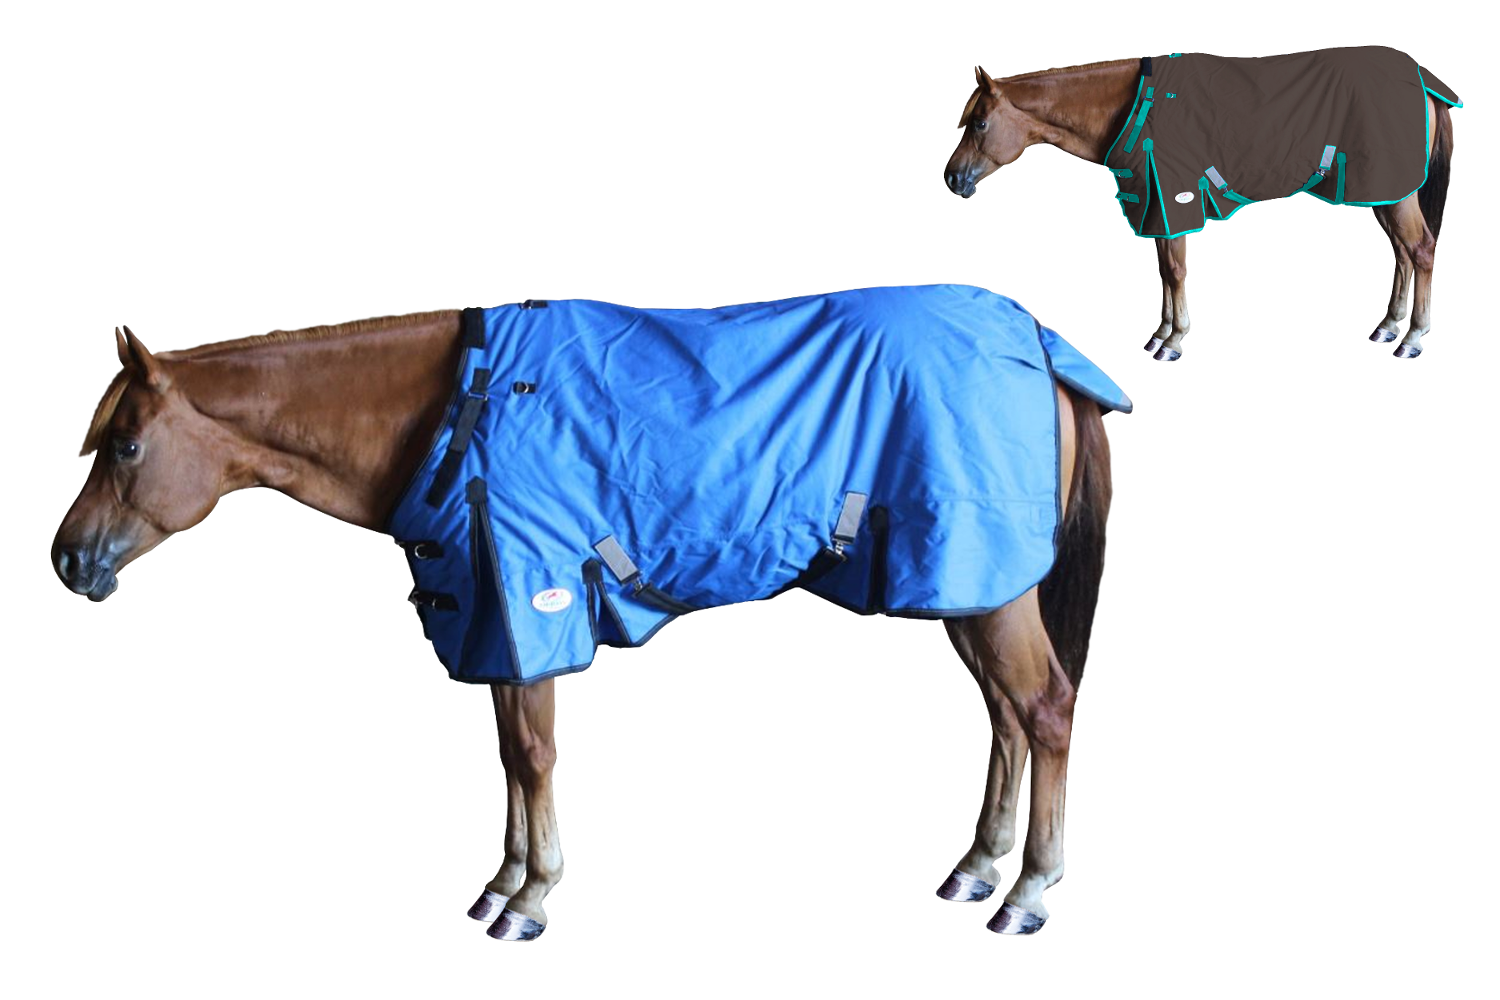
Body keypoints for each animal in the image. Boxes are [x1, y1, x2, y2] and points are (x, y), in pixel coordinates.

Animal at [52, 296, 1118, 940]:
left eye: (128, 444)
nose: (67, 560)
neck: (464, 412)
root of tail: (1037, 342)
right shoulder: (492, 619)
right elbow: (508, 756)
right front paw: (502, 882)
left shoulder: (531, 605)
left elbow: (533, 754)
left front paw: (530, 900)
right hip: (965, 586)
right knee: (1006, 717)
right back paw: (976, 867)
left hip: (989, 586)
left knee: (1046, 711)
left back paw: (1029, 892)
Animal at [944, 51, 1459, 361]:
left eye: (981, 122)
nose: (952, 178)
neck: (1134, 107)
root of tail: (1424, 80)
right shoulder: (1155, 207)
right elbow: (1163, 271)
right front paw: (1160, 333)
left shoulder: (1173, 201)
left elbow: (1175, 271)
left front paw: (1173, 342)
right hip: (1383, 192)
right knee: (1401, 253)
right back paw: (1388, 326)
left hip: (1395, 192)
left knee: (1421, 250)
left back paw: (1413, 337)